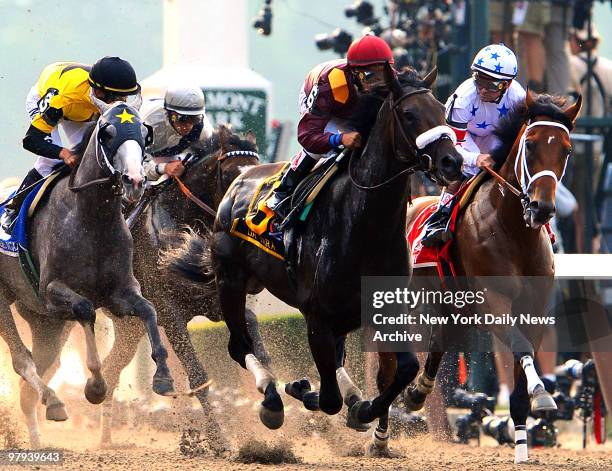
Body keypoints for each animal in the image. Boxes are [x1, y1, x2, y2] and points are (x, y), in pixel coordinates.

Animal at [0, 101, 175, 448]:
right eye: (107, 132)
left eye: (144, 133)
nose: (135, 180)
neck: (93, 218)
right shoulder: (53, 292)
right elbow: (85, 310)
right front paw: (95, 386)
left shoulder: (121, 292)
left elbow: (148, 310)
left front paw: (163, 376)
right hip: (10, 300)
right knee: (22, 360)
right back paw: (53, 401)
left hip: (45, 323)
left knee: (35, 377)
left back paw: (38, 436)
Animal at [392, 92, 584, 464]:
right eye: (531, 144)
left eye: (566, 150)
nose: (542, 208)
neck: (514, 232)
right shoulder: (494, 302)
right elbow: (520, 349)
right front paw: (542, 393)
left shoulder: (533, 309)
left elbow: (524, 362)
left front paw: (522, 443)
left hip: (450, 308)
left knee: (437, 345)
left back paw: (417, 393)